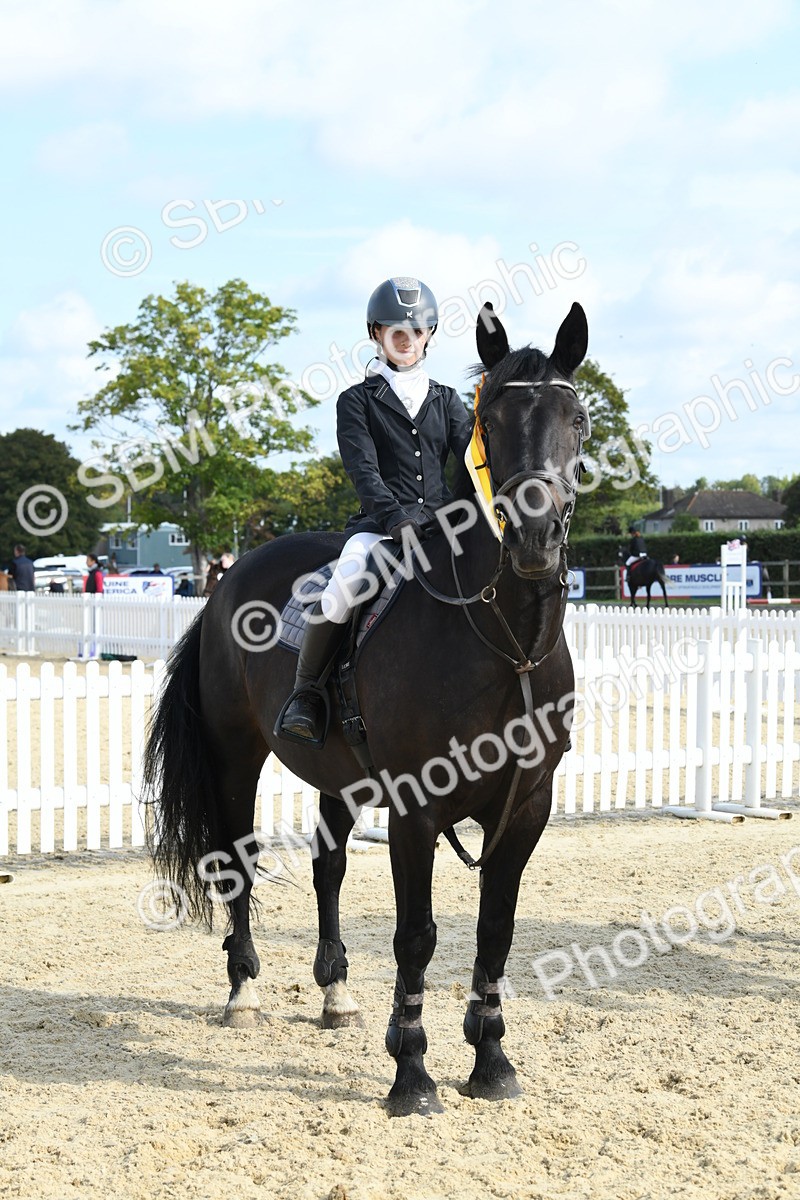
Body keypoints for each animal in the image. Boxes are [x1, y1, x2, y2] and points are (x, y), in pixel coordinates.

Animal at [144, 300, 590, 1117]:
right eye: (494, 421)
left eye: (575, 418)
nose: (536, 539)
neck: (503, 640)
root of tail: (227, 579)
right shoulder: (416, 807)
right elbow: (416, 936)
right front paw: (411, 1074)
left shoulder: (525, 808)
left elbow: (496, 931)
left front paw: (491, 1061)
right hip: (234, 756)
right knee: (237, 862)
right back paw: (244, 990)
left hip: (338, 776)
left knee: (329, 868)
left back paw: (336, 993)